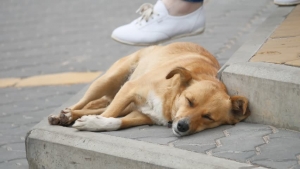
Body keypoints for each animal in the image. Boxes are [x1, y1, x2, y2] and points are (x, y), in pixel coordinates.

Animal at [48, 43, 251, 137]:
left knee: (97, 107)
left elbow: (116, 121)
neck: (170, 99)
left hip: (126, 103)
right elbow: (109, 114)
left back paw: (70, 116)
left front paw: (93, 123)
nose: (182, 126)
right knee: (85, 102)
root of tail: (158, 46)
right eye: (189, 101)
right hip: (106, 81)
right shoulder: (130, 90)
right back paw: (65, 114)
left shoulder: (142, 116)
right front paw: (90, 123)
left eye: (208, 117)